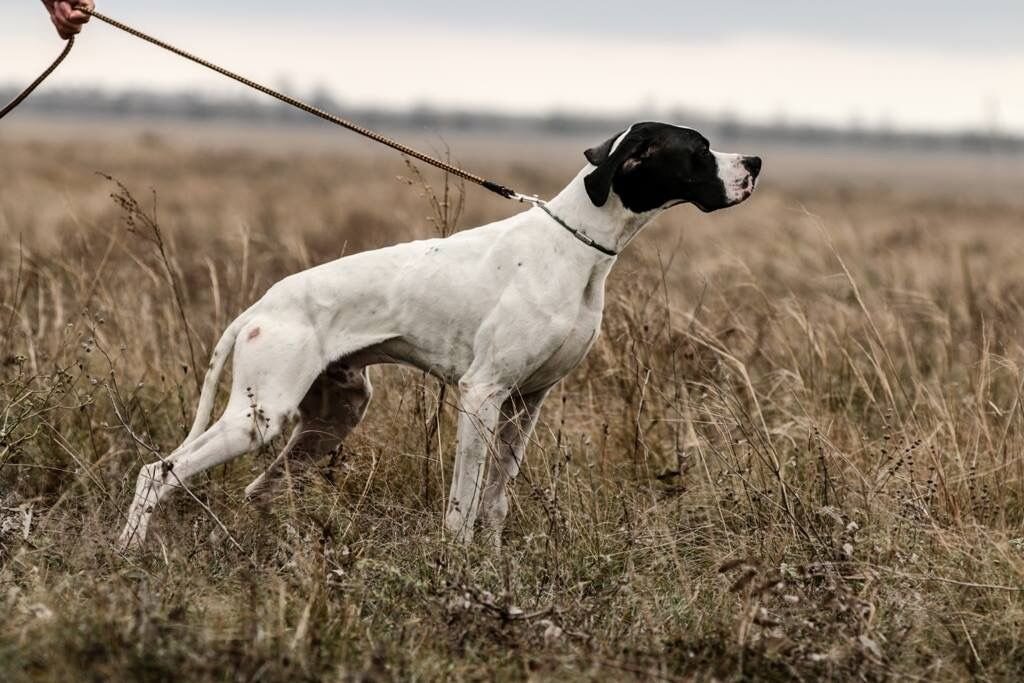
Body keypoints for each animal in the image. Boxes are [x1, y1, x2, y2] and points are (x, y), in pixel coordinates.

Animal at [119, 122, 761, 548]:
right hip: (259, 418)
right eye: (699, 151)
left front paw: (493, 565)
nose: (755, 160)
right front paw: (456, 568)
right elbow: (463, 503)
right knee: (158, 472)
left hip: (333, 416)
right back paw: (128, 551)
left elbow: (496, 502)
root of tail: (261, 306)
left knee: (260, 489)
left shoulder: (526, 403)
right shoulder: (481, 394)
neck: (575, 245)